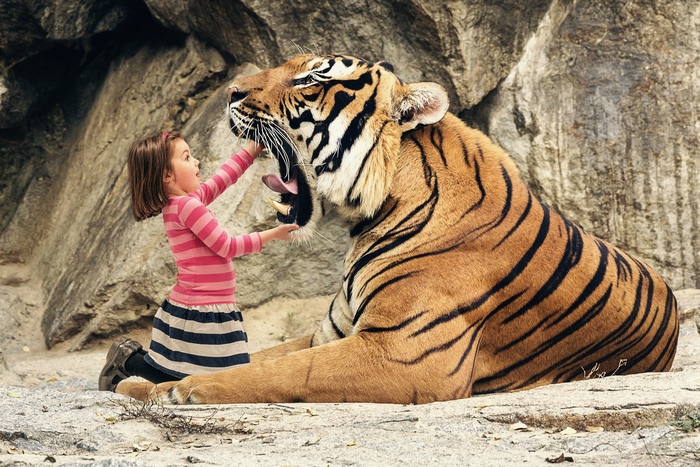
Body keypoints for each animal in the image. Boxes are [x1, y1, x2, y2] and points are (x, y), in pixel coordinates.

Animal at [116, 53, 679, 404]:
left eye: (310, 80)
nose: (231, 92)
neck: (371, 215)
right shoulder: (331, 331)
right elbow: (255, 357)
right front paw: (138, 383)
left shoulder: (403, 352)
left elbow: (270, 370)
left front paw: (168, 389)